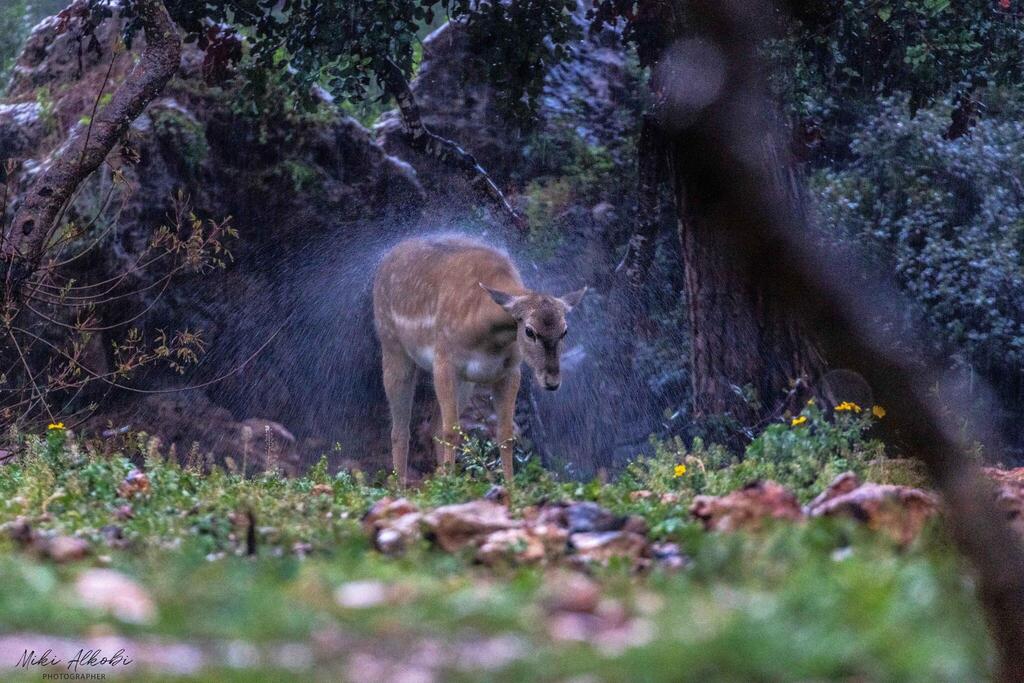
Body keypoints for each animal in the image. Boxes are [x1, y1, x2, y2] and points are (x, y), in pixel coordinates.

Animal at [374, 235, 585, 485]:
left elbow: (505, 434)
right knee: (401, 430)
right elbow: (451, 430)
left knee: (433, 427)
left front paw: (510, 487)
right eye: (529, 331)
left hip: (467, 382)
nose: (552, 381)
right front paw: (449, 486)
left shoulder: (510, 371)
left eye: (564, 330)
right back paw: (403, 487)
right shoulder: (444, 360)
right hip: (392, 345)